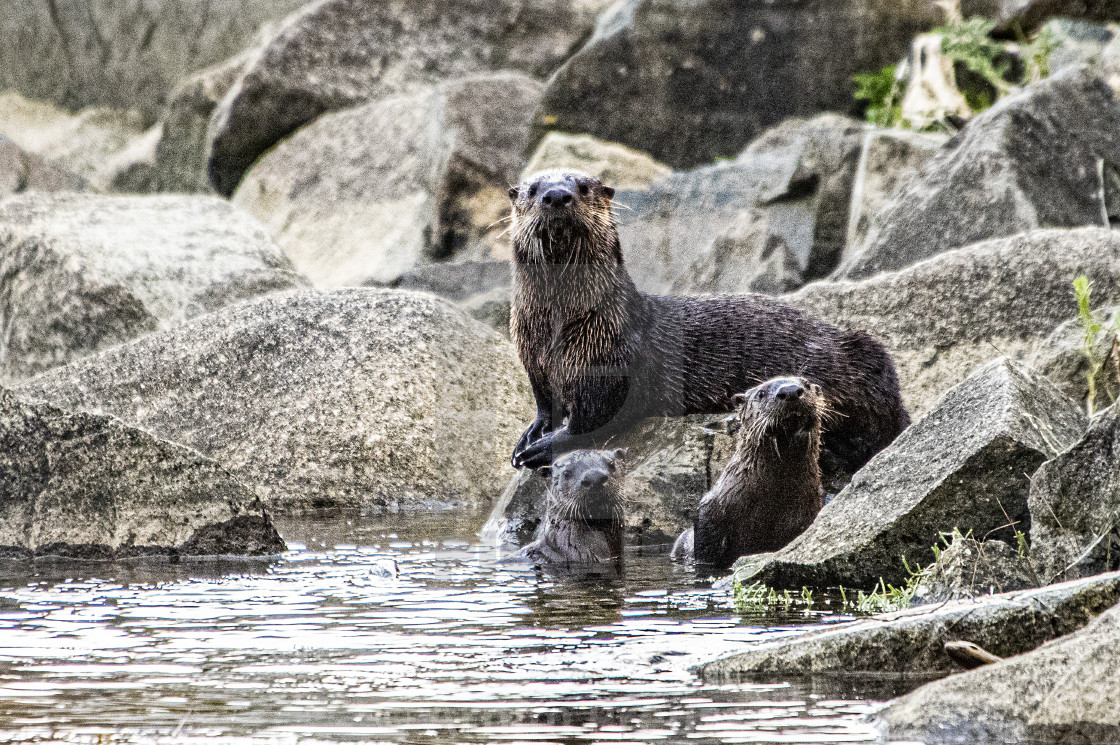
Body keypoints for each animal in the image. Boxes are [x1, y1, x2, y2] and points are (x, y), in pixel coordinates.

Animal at [508, 168, 909, 477]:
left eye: (583, 187)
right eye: (532, 190)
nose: (557, 195)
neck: (559, 330)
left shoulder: (609, 359)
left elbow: (596, 416)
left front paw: (543, 447)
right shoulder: (531, 359)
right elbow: (544, 399)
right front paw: (533, 431)